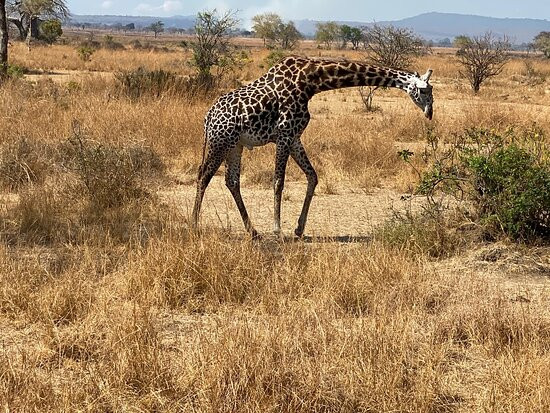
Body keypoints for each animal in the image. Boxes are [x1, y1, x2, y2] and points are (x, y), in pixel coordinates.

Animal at [194, 56, 436, 238]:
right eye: (424, 91)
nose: (430, 113)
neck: (311, 82)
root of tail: (207, 118)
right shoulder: (284, 134)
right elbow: (278, 182)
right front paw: (277, 229)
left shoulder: (294, 137)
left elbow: (312, 176)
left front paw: (299, 229)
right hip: (220, 142)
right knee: (203, 176)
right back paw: (194, 224)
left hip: (235, 145)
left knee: (231, 181)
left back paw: (252, 231)